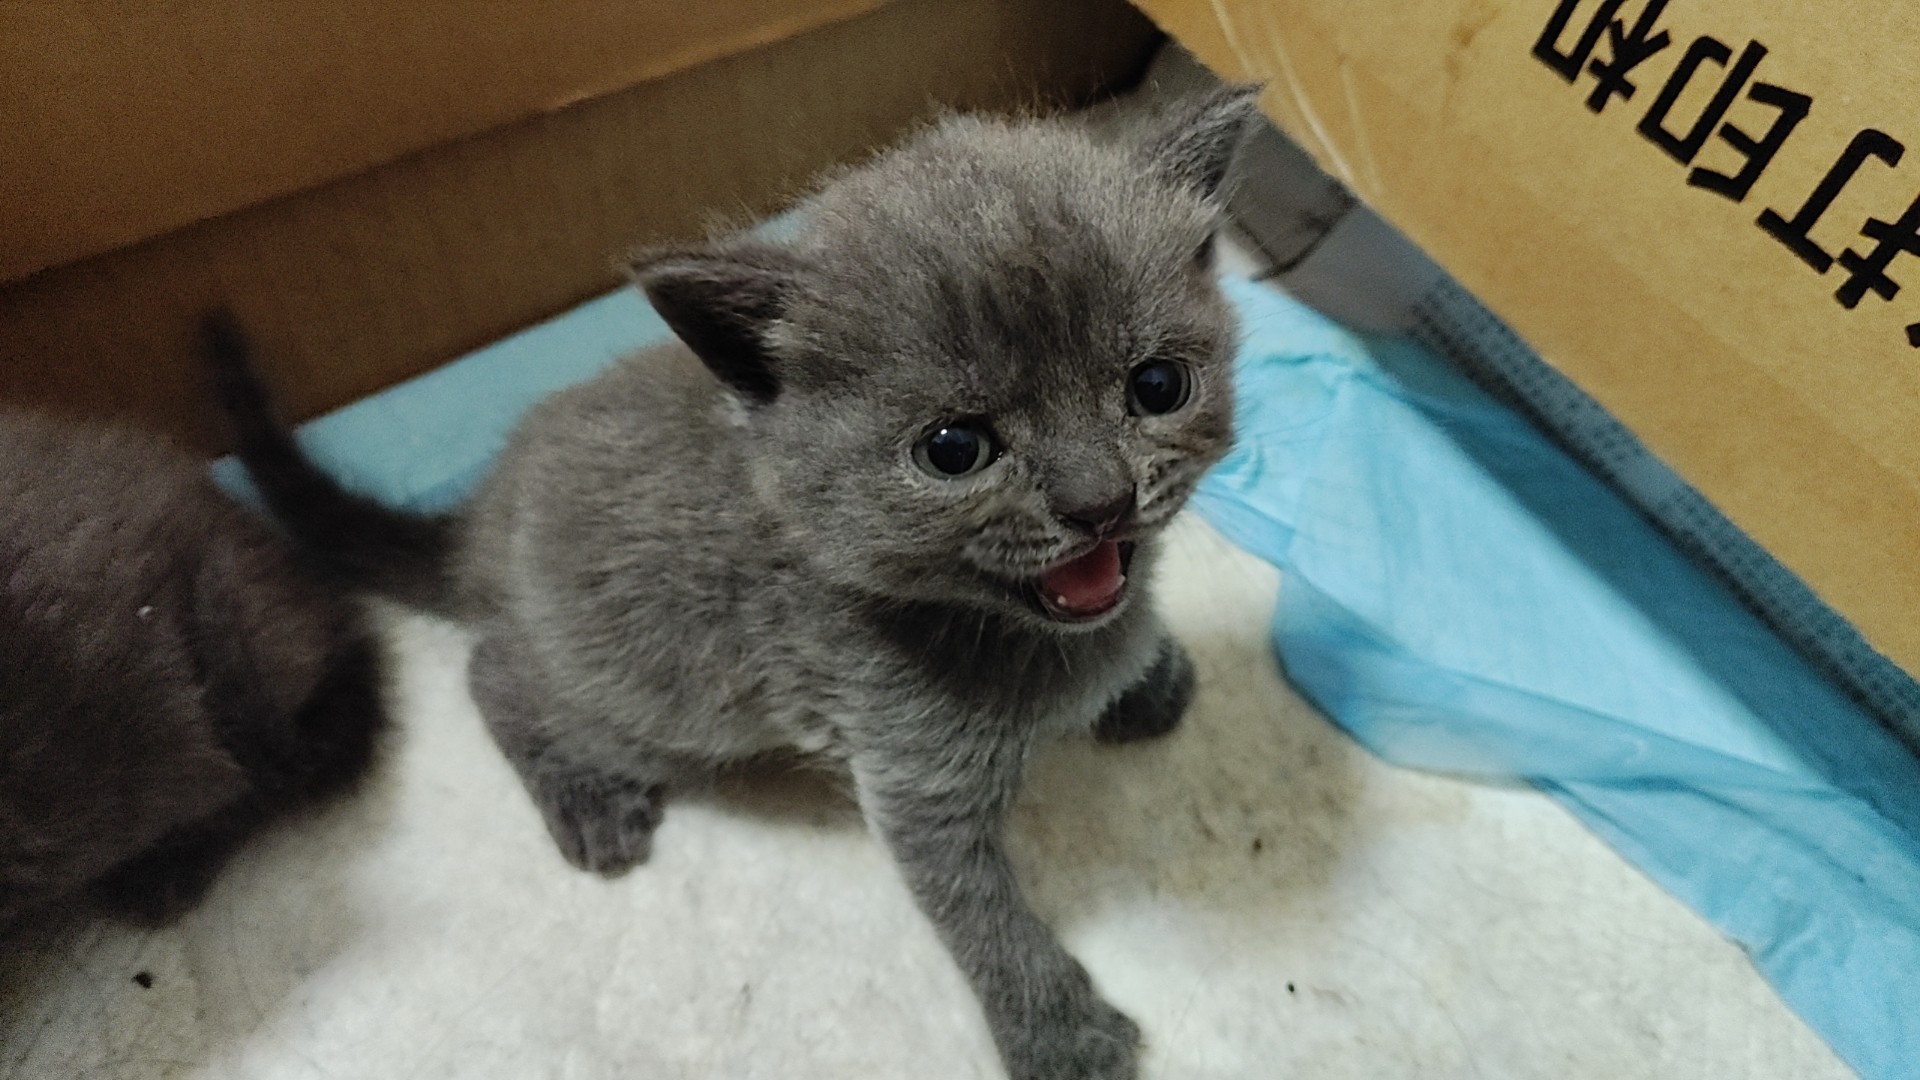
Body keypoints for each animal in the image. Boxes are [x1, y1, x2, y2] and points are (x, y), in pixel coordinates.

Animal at [210, 87, 1255, 1080]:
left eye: (1157, 386)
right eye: (956, 448)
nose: (1099, 501)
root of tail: (485, 519)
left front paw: (1151, 674)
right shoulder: (908, 770)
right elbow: (978, 913)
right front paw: (1060, 1034)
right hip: (659, 703)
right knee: (493, 671)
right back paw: (583, 794)